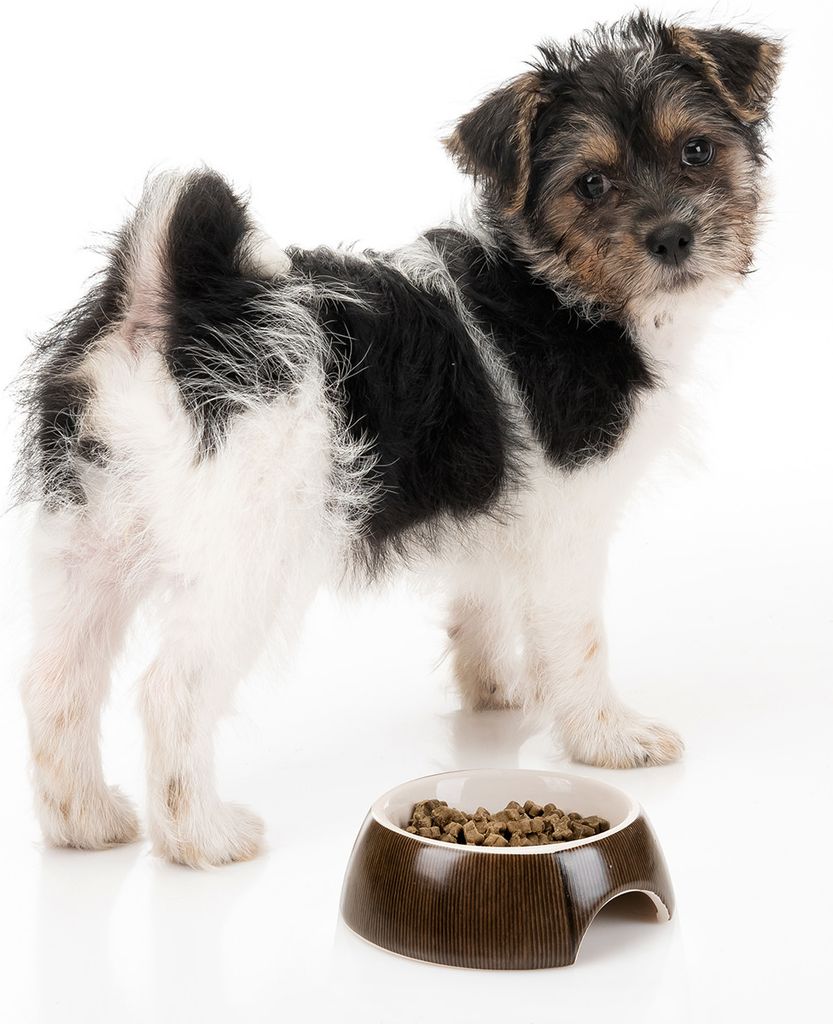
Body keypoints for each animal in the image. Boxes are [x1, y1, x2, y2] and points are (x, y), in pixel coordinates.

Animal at [16, 13, 781, 866]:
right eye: (591, 184)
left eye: (696, 150)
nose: (673, 238)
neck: (556, 287)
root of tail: (165, 308)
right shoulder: (569, 525)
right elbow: (579, 640)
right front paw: (609, 738)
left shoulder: (501, 515)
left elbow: (483, 599)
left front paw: (497, 692)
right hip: (246, 559)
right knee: (169, 690)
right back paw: (203, 837)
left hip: (85, 543)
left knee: (56, 683)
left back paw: (85, 821)